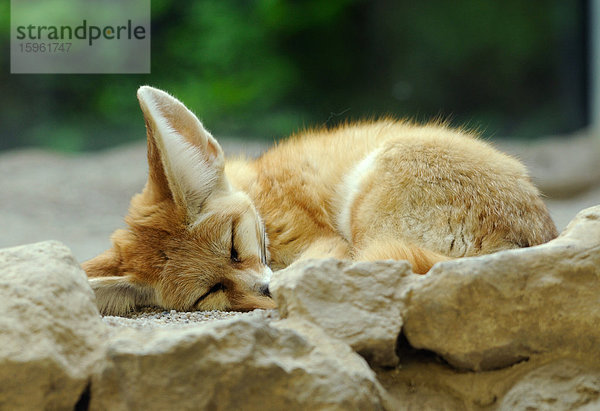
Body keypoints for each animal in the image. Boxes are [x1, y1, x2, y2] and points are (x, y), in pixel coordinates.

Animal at [83, 85, 556, 314]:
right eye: (210, 292)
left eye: (234, 247)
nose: (267, 288)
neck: (261, 195)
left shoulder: (324, 240)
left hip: (367, 198)